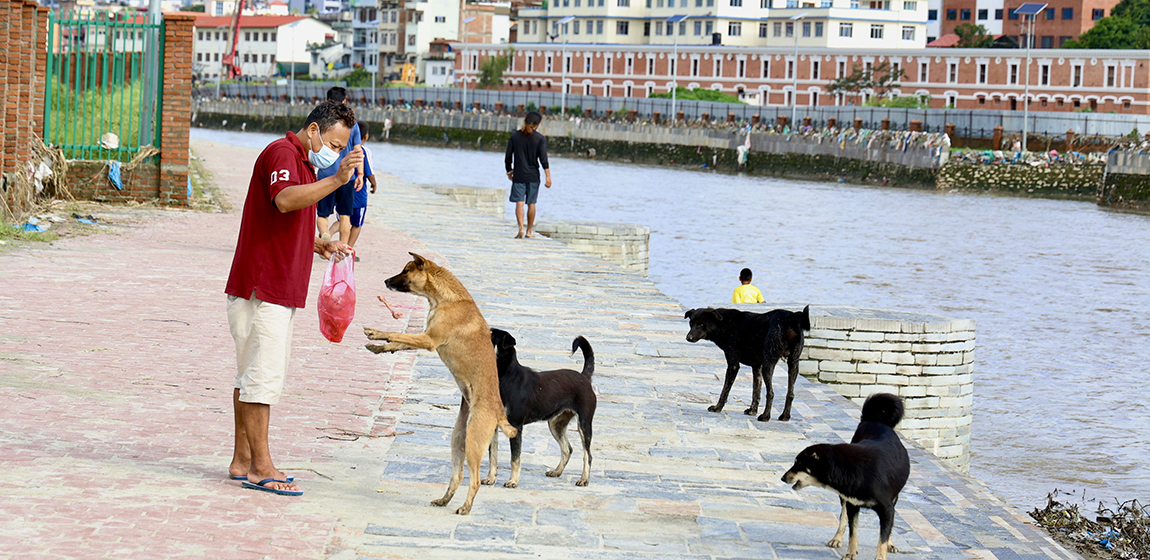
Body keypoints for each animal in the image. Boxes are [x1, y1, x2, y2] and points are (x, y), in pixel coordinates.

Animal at [363, 254, 517, 517]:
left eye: (406, 271)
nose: (385, 281)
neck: (445, 299)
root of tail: (498, 412)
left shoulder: (429, 339)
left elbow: (397, 334)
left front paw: (376, 333)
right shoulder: (425, 337)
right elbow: (399, 342)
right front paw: (380, 347)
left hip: (474, 443)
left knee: (475, 480)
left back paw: (465, 507)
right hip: (458, 440)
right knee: (458, 476)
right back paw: (445, 500)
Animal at [480, 331, 598, 489]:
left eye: (491, 337)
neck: (505, 377)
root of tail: (584, 377)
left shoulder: (516, 426)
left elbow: (515, 458)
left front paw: (513, 481)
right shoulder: (493, 426)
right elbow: (492, 455)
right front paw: (491, 478)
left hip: (584, 424)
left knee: (587, 454)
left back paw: (584, 479)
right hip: (556, 424)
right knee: (567, 449)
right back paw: (556, 471)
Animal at [680, 305, 809, 420]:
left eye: (702, 324)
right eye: (691, 323)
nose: (688, 338)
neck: (725, 324)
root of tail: (791, 317)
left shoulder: (733, 365)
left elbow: (725, 390)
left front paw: (717, 408)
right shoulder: (756, 367)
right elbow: (756, 391)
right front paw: (752, 411)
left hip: (769, 364)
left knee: (771, 393)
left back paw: (765, 416)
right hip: (793, 363)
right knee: (790, 393)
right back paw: (785, 416)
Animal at [782, 393, 906, 560]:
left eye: (798, 464)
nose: (782, 478)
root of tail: (874, 421)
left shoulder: (886, 509)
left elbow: (883, 538)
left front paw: (881, 555)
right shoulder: (852, 504)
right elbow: (852, 532)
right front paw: (850, 553)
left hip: (894, 498)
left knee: (888, 528)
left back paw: (891, 544)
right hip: (845, 498)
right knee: (843, 517)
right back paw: (837, 538)